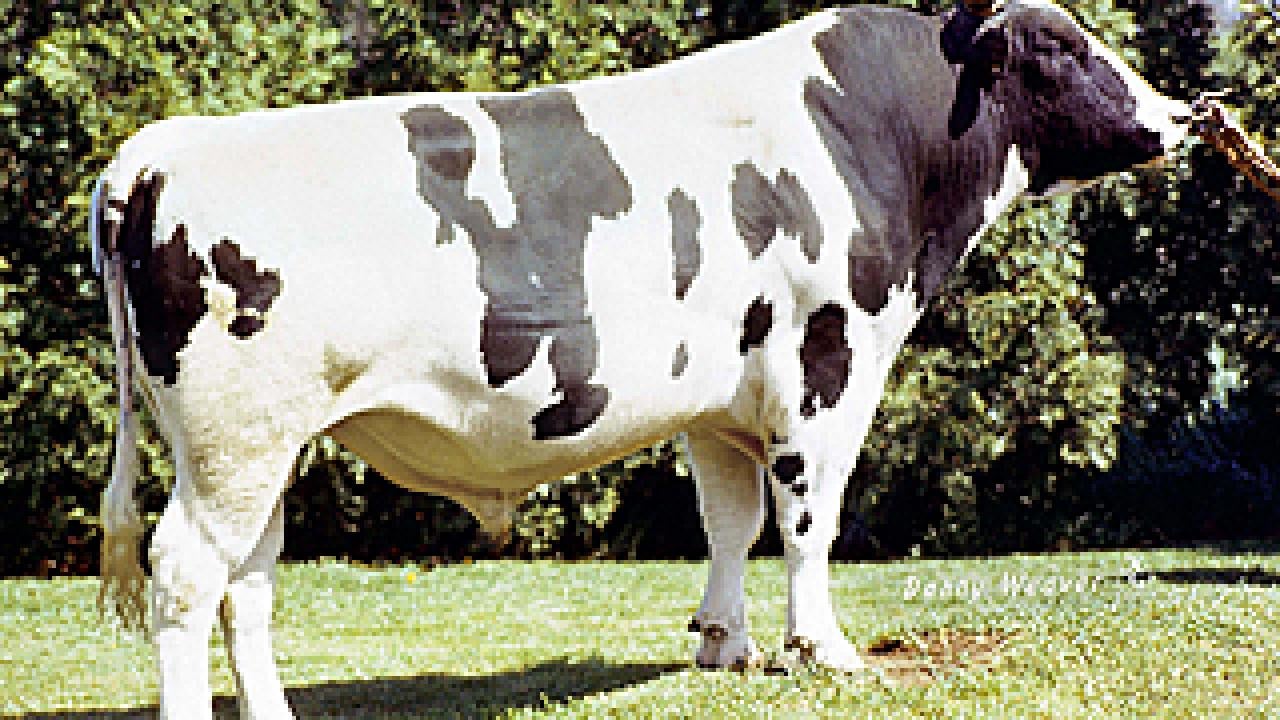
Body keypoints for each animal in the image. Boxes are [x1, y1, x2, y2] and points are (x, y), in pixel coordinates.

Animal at [93, 1, 1192, 717]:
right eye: (1064, 47)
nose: (1178, 116)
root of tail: (158, 148)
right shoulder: (825, 365)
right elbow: (808, 520)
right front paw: (821, 650)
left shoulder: (722, 399)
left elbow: (729, 521)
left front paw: (724, 646)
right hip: (234, 441)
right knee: (186, 574)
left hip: (258, 447)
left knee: (247, 581)